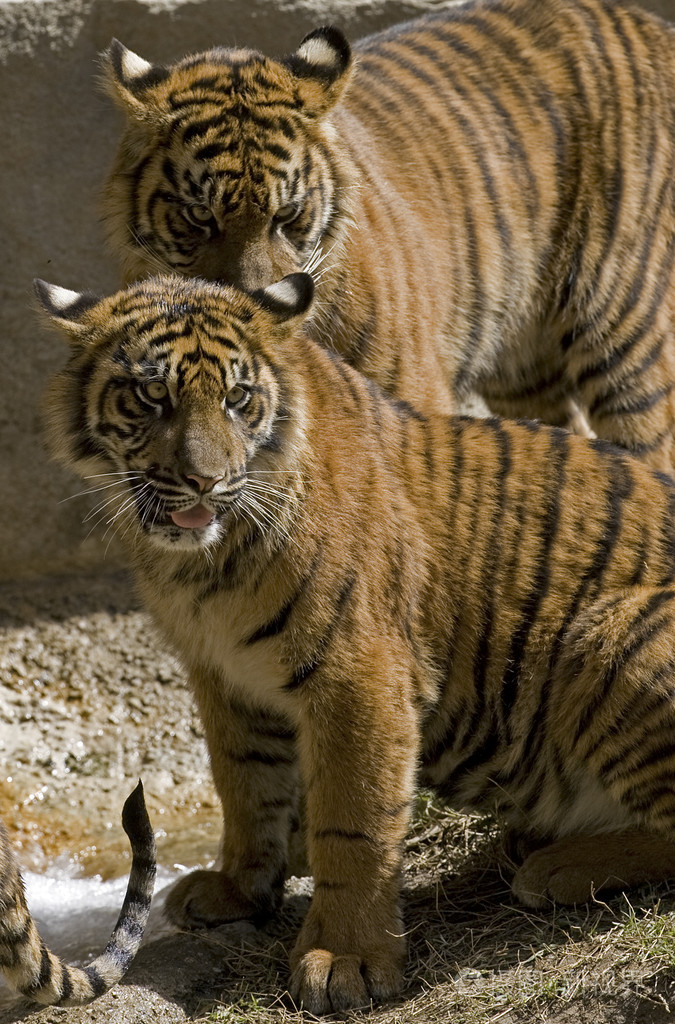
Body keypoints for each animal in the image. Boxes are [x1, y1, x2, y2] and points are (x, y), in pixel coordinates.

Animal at [36, 269, 675, 1013]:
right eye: (151, 395)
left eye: (238, 399)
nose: (203, 481)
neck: (201, 563)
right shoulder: (223, 677)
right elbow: (242, 783)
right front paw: (234, 889)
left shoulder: (357, 676)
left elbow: (353, 823)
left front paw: (345, 959)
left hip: (610, 638)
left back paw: (556, 866)